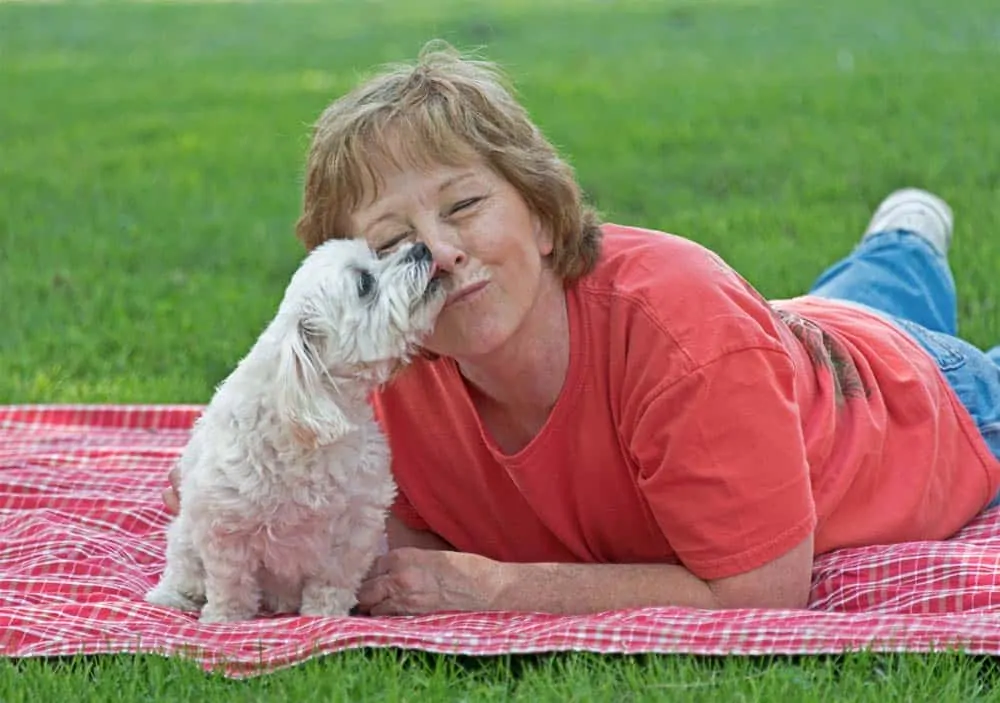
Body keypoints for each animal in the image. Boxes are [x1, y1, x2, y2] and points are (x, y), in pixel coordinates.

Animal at [146, 238, 444, 620]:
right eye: (364, 283)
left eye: (378, 253)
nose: (421, 247)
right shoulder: (225, 524)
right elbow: (232, 584)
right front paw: (224, 620)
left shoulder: (354, 528)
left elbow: (331, 584)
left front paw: (325, 618)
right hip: (185, 537)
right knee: (185, 569)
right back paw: (175, 596)